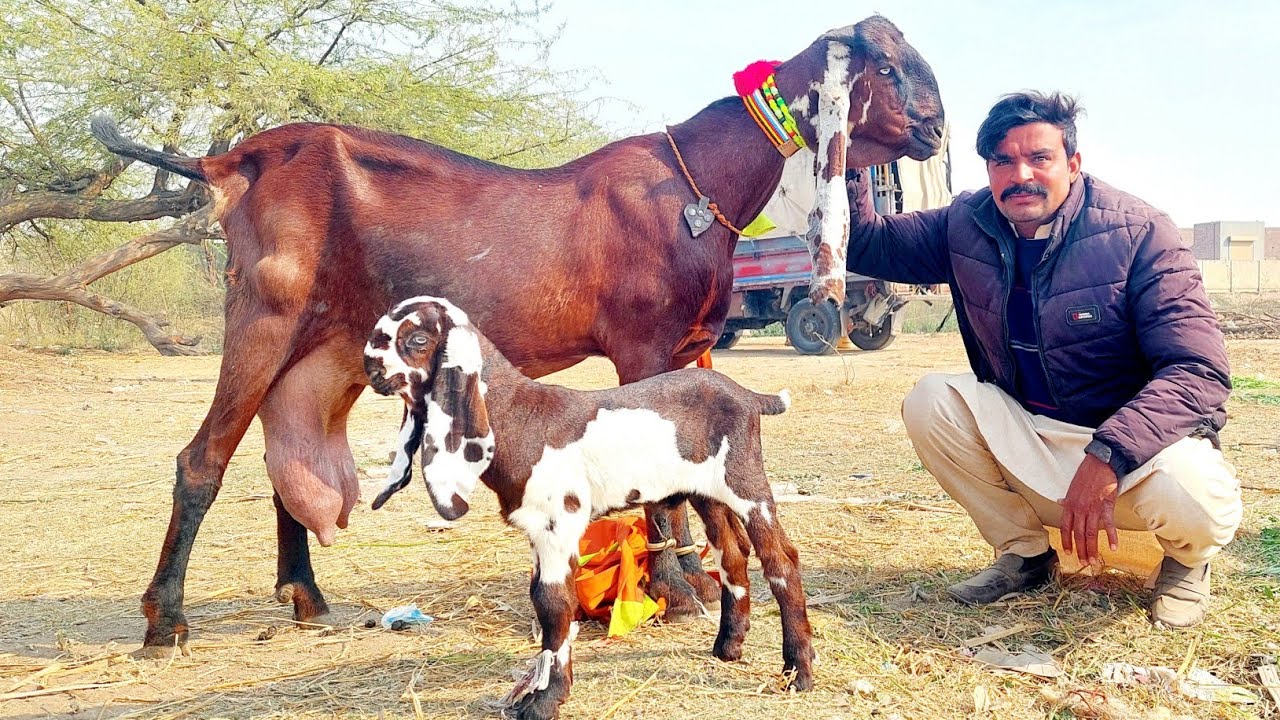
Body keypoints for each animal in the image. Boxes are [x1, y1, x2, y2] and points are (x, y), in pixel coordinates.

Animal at [91, 15, 943, 654]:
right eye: (887, 66)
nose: (936, 130)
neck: (695, 186)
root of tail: (233, 159)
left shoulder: (692, 348)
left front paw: (692, 578)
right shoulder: (640, 348)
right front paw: (676, 589)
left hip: (327, 348)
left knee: (284, 452)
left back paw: (304, 594)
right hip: (262, 315)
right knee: (203, 458)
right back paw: (166, 620)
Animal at [364, 297, 814, 720]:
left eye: (416, 339)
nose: (370, 367)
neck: (520, 415)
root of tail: (749, 397)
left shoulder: (559, 522)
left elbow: (553, 603)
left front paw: (546, 701)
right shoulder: (538, 530)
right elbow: (545, 598)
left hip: (747, 484)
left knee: (780, 560)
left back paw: (798, 671)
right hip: (709, 494)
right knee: (733, 556)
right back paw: (728, 647)